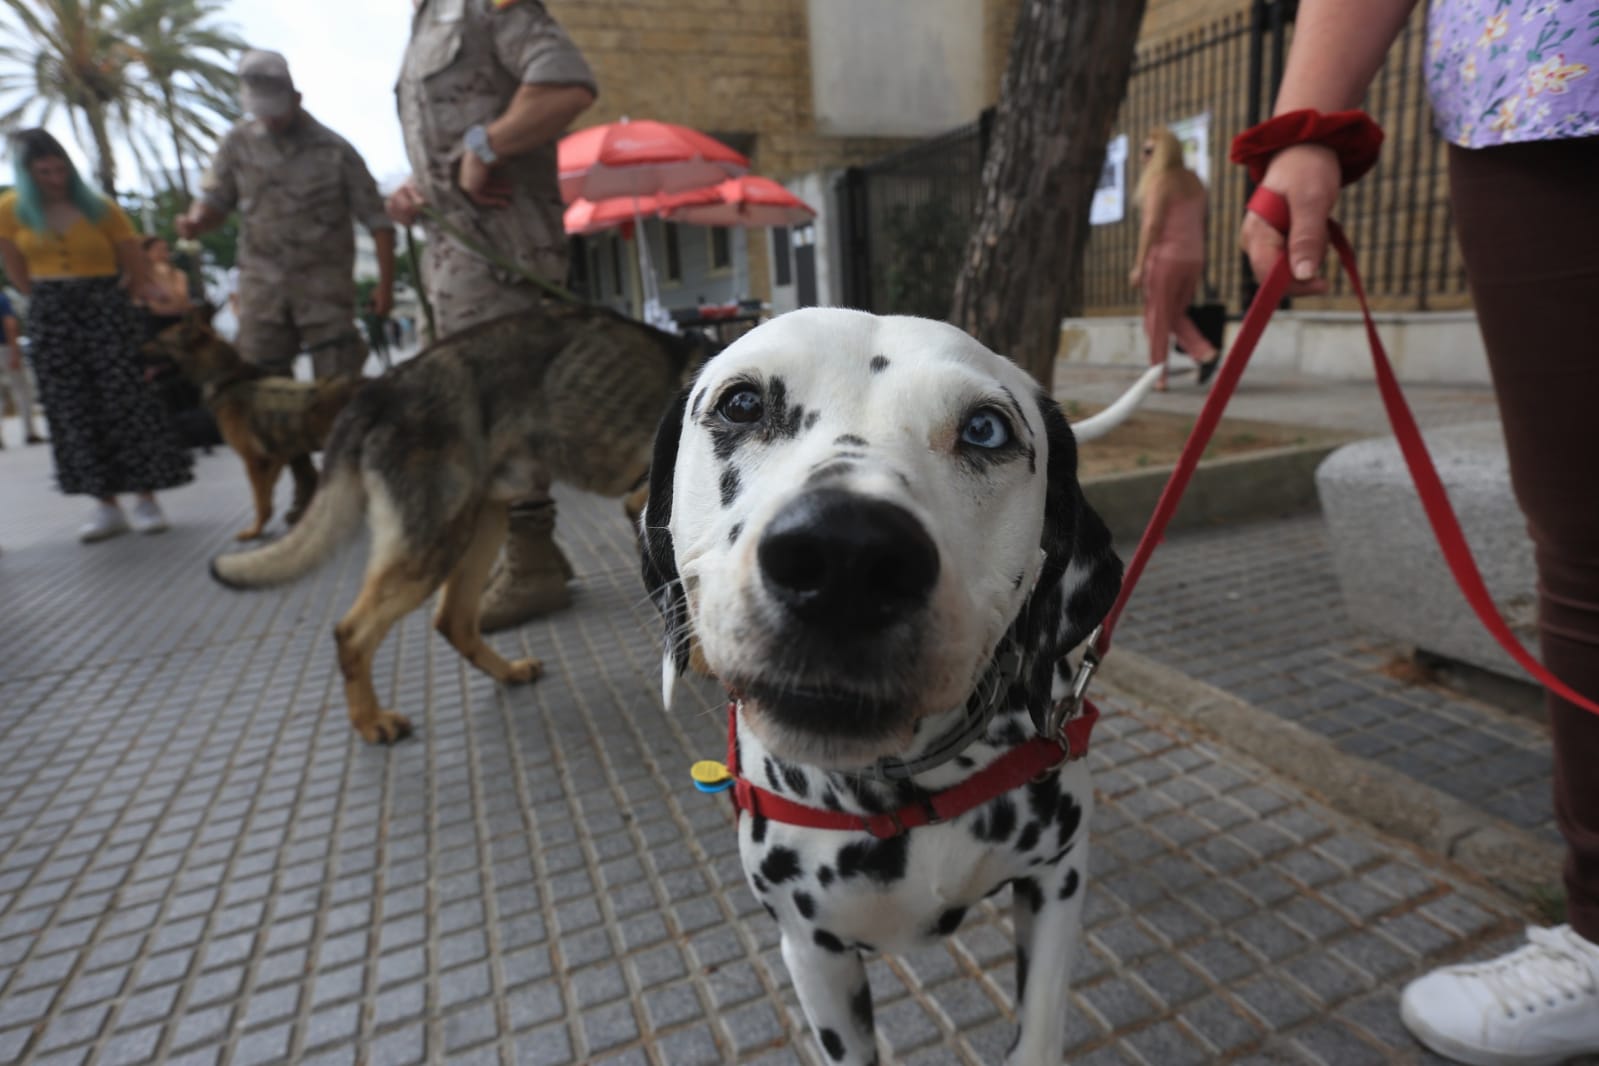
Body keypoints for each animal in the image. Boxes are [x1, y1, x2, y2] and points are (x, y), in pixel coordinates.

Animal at [144, 313, 362, 536]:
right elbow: (267, 493)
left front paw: (254, 530)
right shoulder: (275, 456)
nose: (137, 353)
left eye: (160, 341)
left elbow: (260, 499)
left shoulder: (252, 461)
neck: (227, 377)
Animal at [211, 303, 700, 747]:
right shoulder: (645, 509)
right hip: (433, 543)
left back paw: (507, 672)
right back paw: (371, 722)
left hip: (479, 527)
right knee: (352, 632)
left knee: (452, 620)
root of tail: (380, 390)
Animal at [639, 308, 1125, 1066]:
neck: (906, 796)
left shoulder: (1055, 881)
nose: (845, 556)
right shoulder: (814, 953)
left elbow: (1039, 1029)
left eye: (985, 429)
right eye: (741, 404)